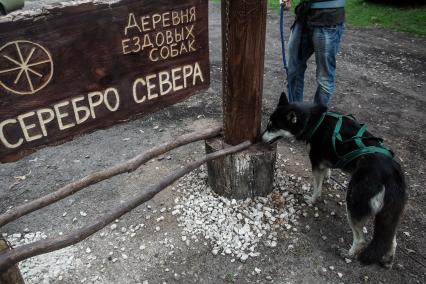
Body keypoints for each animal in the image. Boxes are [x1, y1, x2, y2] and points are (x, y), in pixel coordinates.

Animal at [262, 93, 406, 268]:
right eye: (268, 125)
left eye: (272, 127)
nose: (260, 138)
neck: (315, 121)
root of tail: (391, 174)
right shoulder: (325, 159)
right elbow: (327, 171)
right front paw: (328, 177)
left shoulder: (316, 163)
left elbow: (317, 188)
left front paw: (312, 199)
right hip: (388, 215)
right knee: (391, 240)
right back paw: (388, 261)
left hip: (353, 203)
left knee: (361, 240)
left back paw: (348, 254)